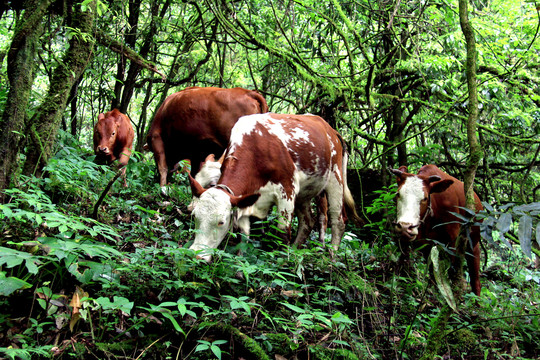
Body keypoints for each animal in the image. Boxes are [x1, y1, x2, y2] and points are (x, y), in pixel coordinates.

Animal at [187, 112, 358, 262]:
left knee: (338, 220)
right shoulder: (246, 200)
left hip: (335, 178)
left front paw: (281, 263)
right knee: (308, 221)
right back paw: (295, 251)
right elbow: (244, 233)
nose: (196, 255)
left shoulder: (287, 191)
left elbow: (282, 233)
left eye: (221, 222)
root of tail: (331, 130)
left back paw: (331, 258)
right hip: (306, 192)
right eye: (195, 216)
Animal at [390, 165, 484, 296]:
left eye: (424, 198)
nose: (404, 227)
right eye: (398, 194)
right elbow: (433, 276)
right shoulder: (425, 245)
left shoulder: (452, 243)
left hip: (473, 243)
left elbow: (451, 273)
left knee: (475, 280)